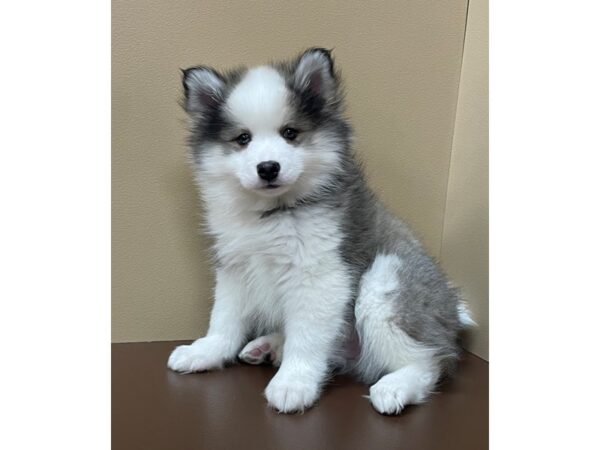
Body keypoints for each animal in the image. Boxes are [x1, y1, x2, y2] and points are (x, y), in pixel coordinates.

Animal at [168, 47, 474, 414]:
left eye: (290, 133)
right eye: (243, 138)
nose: (268, 167)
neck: (273, 213)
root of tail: (453, 312)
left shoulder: (320, 276)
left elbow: (307, 339)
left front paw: (293, 382)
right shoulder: (235, 267)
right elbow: (224, 319)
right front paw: (206, 351)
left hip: (384, 285)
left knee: (432, 359)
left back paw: (396, 386)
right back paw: (269, 345)